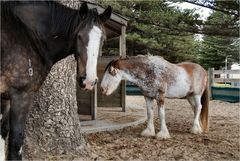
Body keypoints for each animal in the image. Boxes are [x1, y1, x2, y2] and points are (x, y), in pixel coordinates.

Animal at [0, 1, 111, 160]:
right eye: (79, 36)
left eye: (103, 39)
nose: (88, 80)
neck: (26, 35)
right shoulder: (21, 95)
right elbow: (15, 145)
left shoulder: (5, 97)